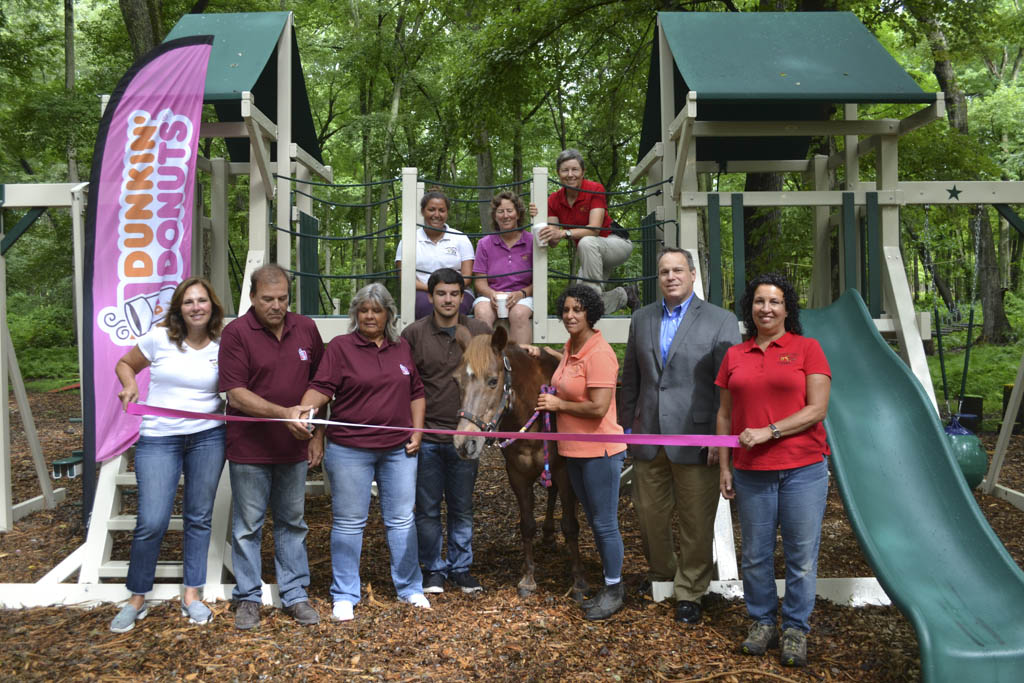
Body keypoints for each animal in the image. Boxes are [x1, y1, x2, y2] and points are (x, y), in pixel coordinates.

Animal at [454, 325, 589, 598]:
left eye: (493, 381)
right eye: (457, 381)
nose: (464, 443)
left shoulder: (564, 471)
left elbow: (570, 525)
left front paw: (578, 580)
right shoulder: (516, 473)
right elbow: (526, 524)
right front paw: (528, 578)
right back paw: (547, 534)